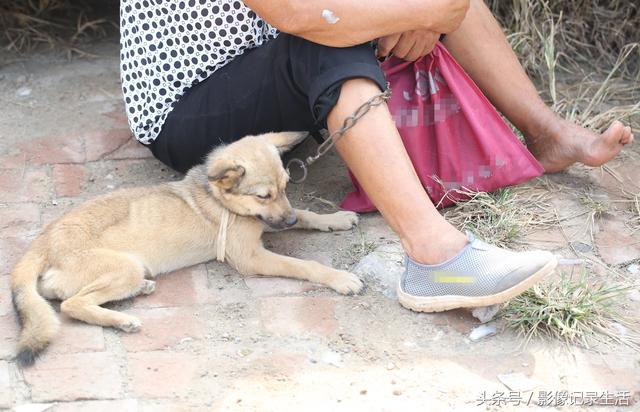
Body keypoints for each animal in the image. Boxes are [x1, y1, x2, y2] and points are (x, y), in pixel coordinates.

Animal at [10, 130, 362, 366]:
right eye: (263, 196)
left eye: (287, 187)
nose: (287, 223)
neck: (221, 200)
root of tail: (42, 242)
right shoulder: (251, 258)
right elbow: (305, 265)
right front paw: (340, 278)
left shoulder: (275, 221)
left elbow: (307, 214)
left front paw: (335, 219)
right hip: (123, 266)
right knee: (71, 305)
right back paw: (121, 320)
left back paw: (140, 290)